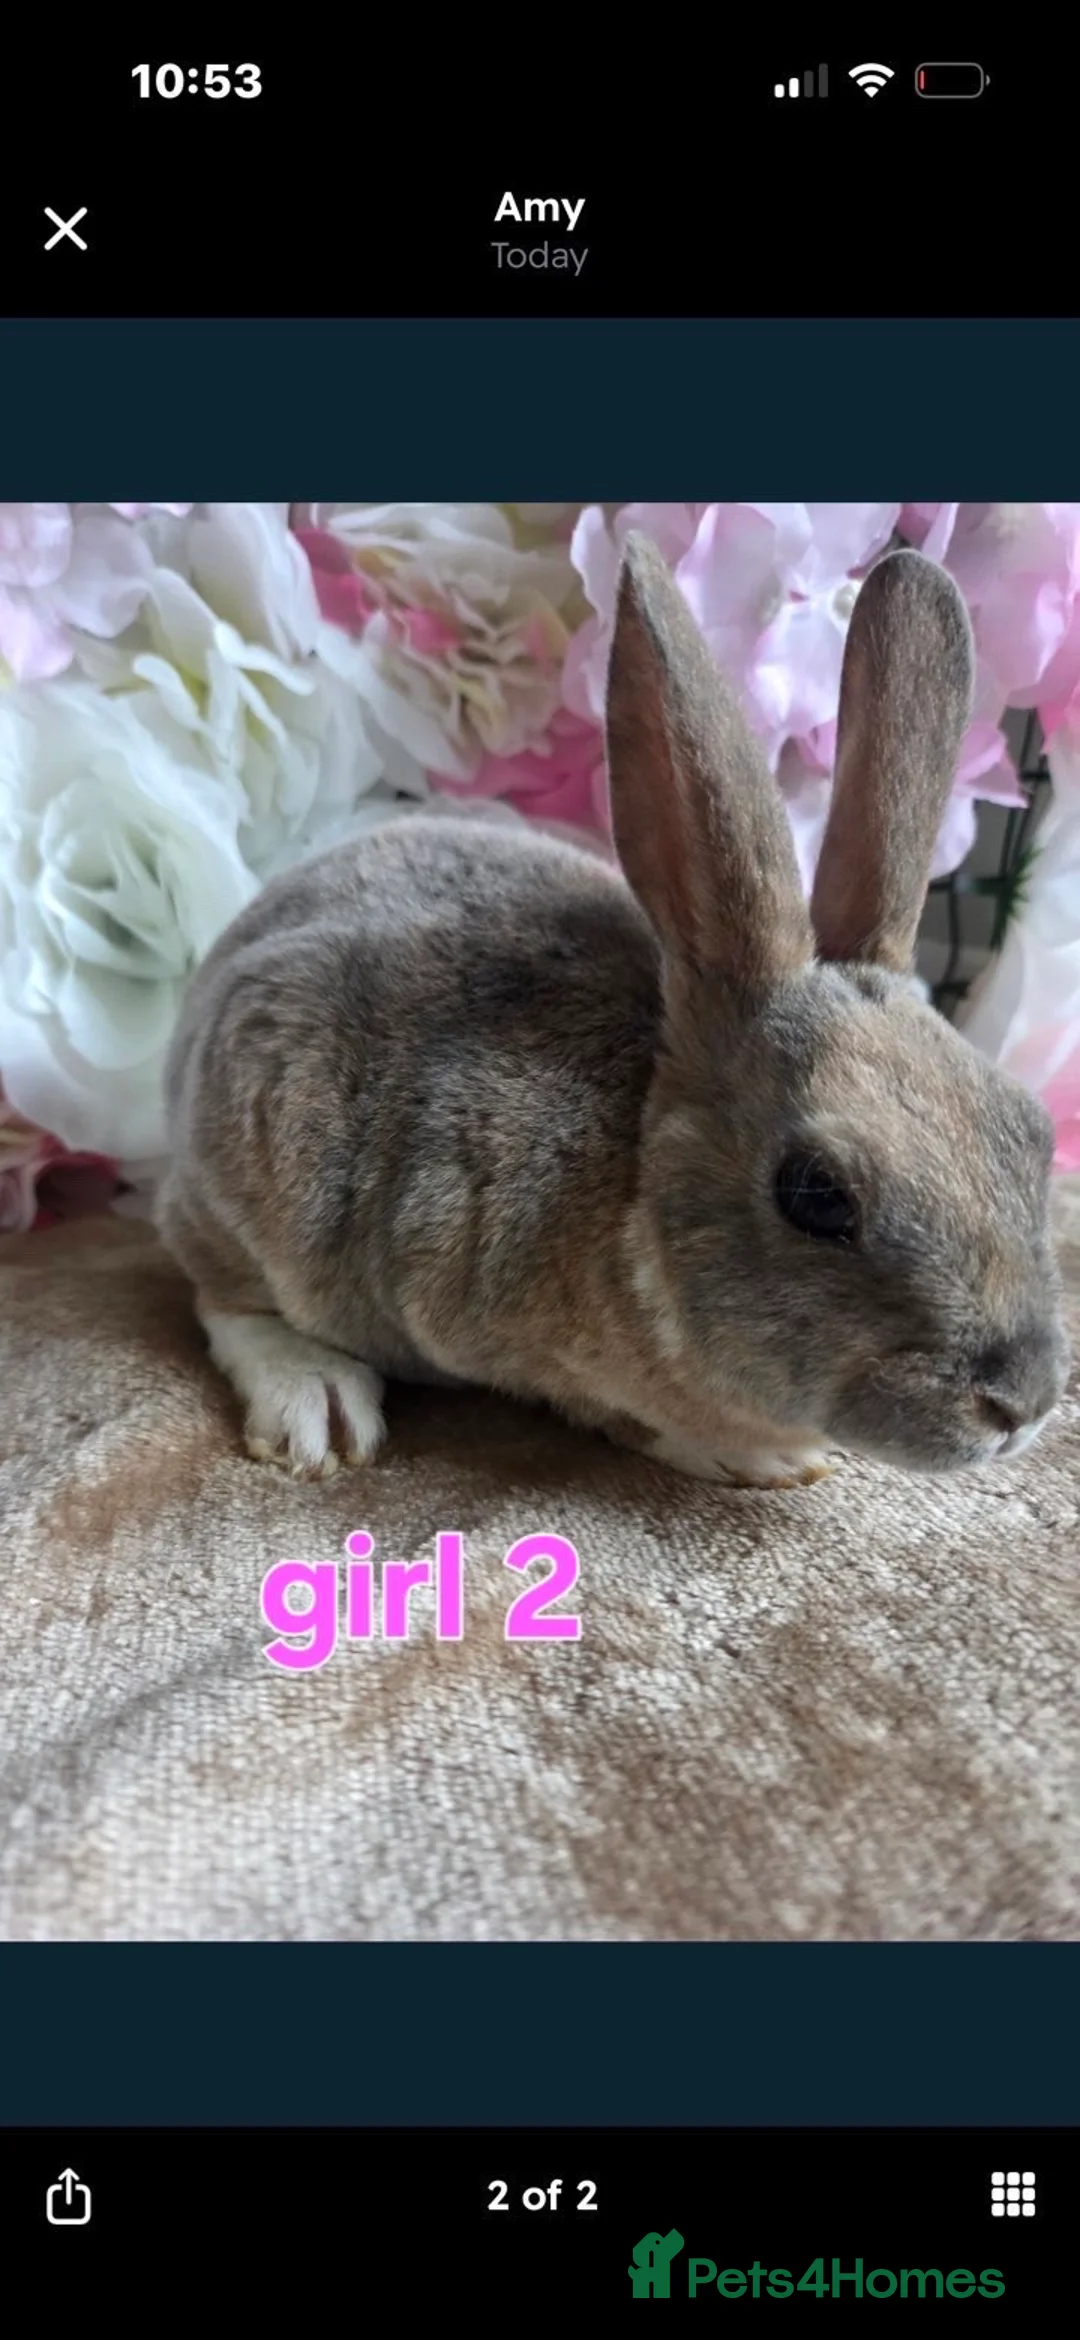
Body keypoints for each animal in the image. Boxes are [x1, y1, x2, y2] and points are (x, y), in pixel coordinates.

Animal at [155, 535, 1070, 1488]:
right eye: (817, 1195)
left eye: (1032, 1133)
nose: (1023, 1404)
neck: (637, 1180)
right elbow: (628, 1415)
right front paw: (766, 1456)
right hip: (252, 1159)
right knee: (225, 1294)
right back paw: (318, 1408)